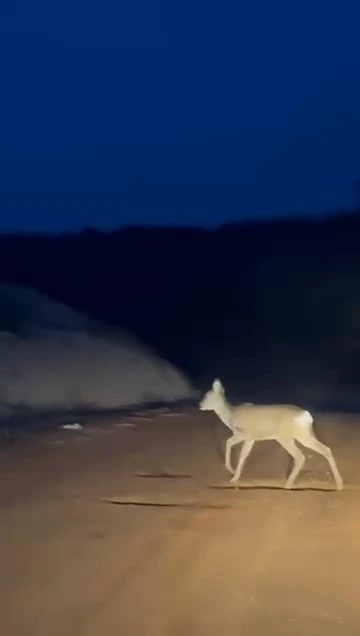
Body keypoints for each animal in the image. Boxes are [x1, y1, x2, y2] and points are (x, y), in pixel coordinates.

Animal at [200, 380, 344, 490]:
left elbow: (229, 443)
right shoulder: (252, 438)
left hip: (286, 437)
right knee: (325, 449)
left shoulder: (245, 433)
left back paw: (288, 484)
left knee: (300, 456)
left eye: (208, 395)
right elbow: (243, 454)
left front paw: (231, 471)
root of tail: (306, 415)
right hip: (303, 435)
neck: (231, 416)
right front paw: (235, 476)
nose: (200, 404)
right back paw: (339, 484)